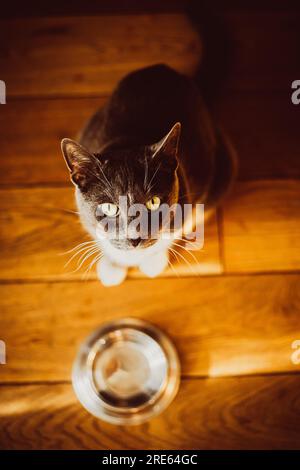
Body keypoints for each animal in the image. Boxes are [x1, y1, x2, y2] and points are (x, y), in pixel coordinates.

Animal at [61, 63, 237, 284]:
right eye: (109, 208)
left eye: (153, 202)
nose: (134, 238)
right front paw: (112, 266)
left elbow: (176, 230)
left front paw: (153, 261)